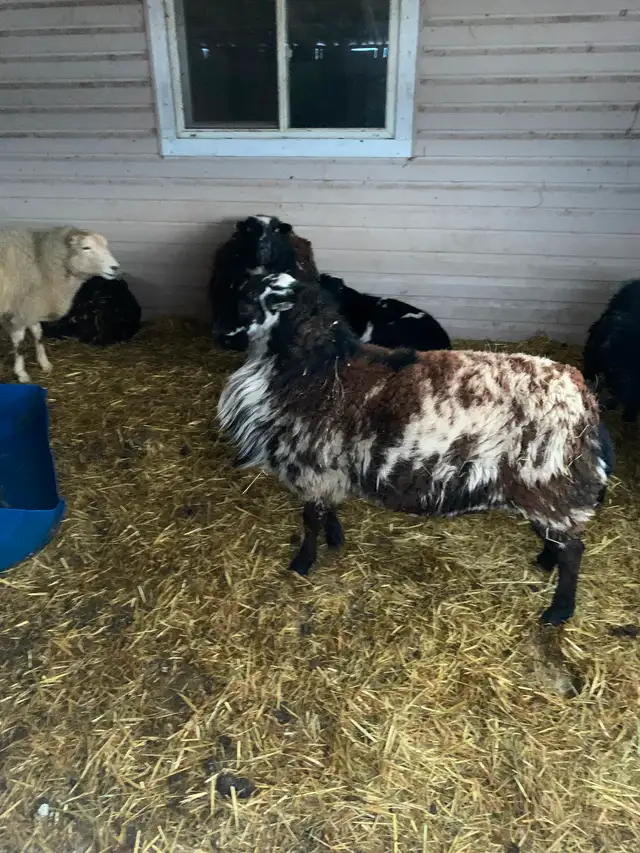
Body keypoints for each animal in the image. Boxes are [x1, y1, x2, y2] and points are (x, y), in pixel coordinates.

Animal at [0, 226, 120, 382]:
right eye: (86, 247)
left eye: (105, 246)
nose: (115, 267)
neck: (40, 260)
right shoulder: (20, 310)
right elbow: (19, 344)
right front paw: (21, 373)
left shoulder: (33, 304)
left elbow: (38, 333)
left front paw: (44, 363)